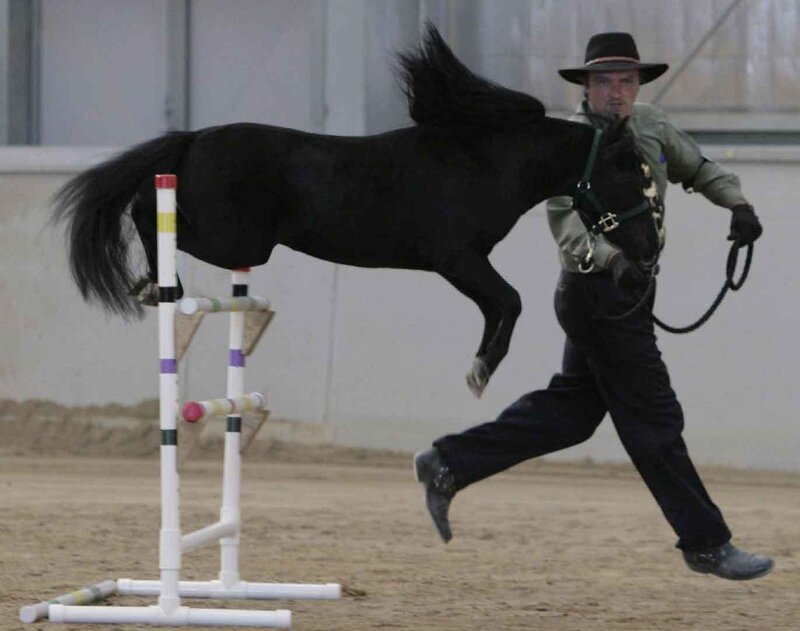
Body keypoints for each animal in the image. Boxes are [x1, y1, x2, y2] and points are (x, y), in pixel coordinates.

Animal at [52, 24, 660, 398]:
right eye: (628, 172)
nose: (648, 253)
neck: (484, 158)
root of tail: (195, 137)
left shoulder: (466, 264)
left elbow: (500, 307)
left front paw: (479, 368)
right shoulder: (456, 258)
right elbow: (509, 302)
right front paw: (480, 372)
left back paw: (153, 287)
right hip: (238, 242)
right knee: (145, 213)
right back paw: (157, 287)